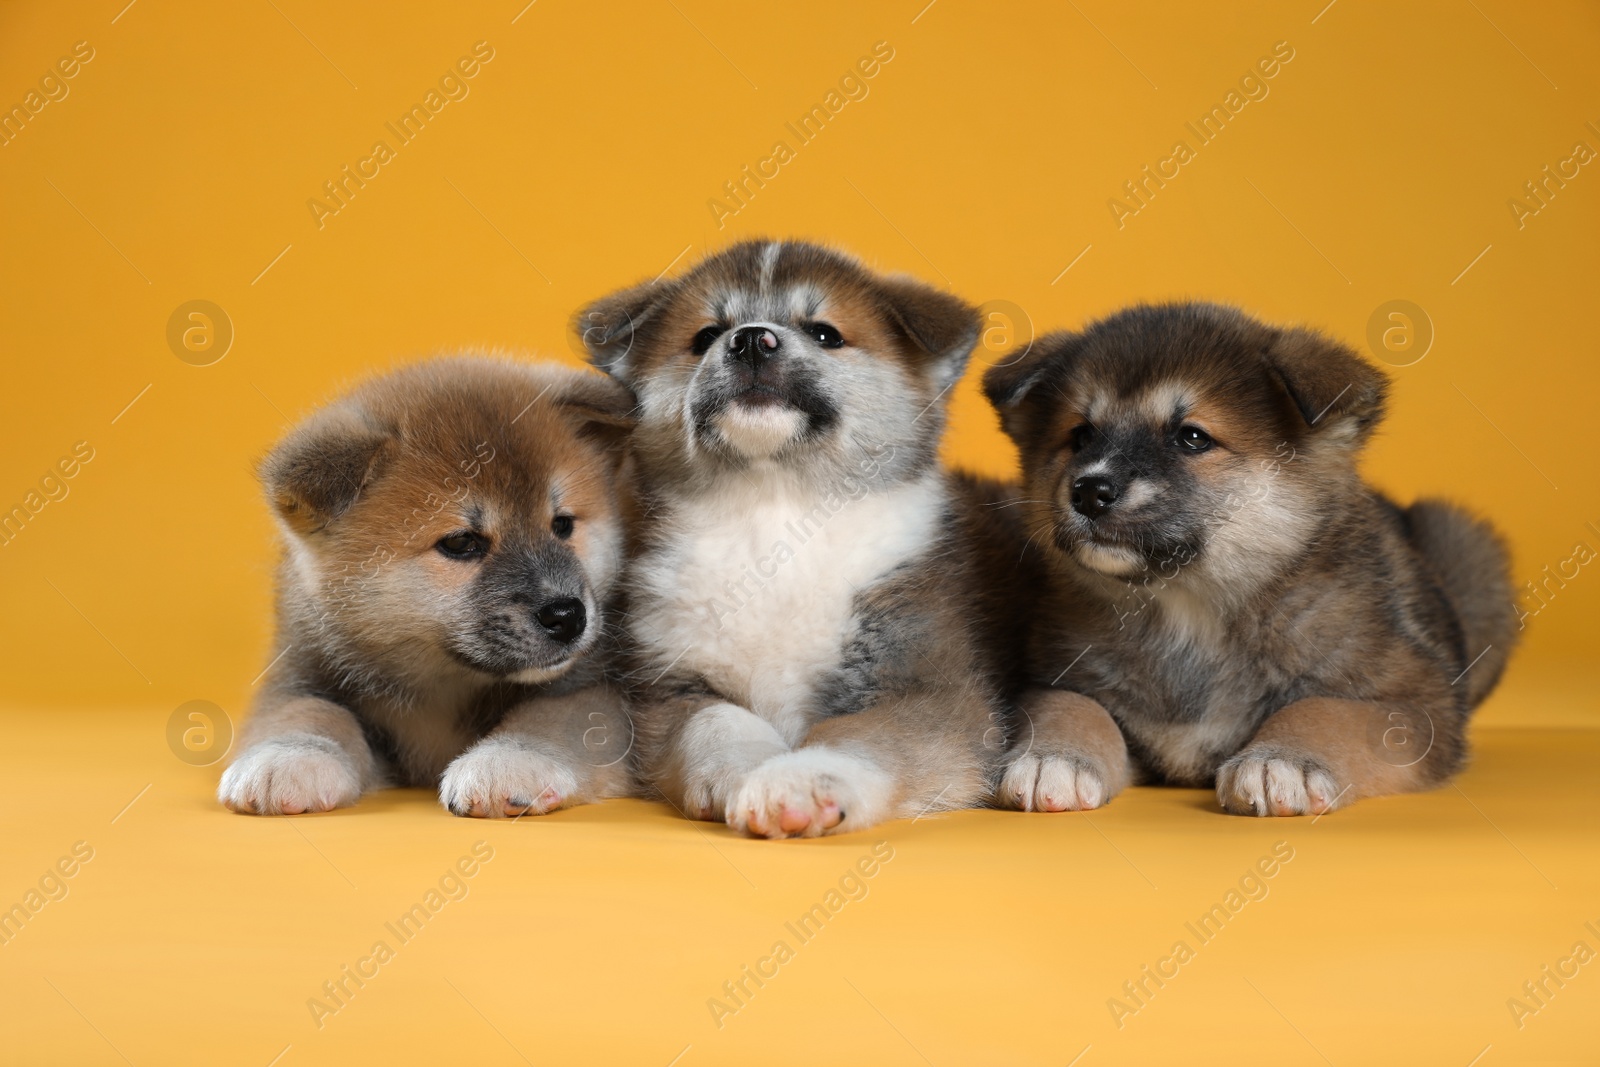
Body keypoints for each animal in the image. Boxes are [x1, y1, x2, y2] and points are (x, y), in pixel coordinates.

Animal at [217, 358, 636, 819]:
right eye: (460, 542)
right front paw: (289, 755)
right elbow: (306, 711)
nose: (567, 615)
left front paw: (510, 759)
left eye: (562, 525)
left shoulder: (603, 690)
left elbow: (556, 716)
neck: (440, 686)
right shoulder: (297, 676)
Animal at [572, 238, 1024, 838]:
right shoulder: (670, 688)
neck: (775, 512)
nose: (750, 340)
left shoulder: (933, 687)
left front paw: (799, 781)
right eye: (705, 335)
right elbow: (717, 722)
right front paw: (743, 773)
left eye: (825, 333)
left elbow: (858, 738)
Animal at [979, 302, 1516, 819]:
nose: (1089, 490)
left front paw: (1282, 759)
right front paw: (1053, 757)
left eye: (1192, 438)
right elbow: (1069, 704)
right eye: (1080, 436)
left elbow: (1326, 711)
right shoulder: (1059, 677)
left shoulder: (1414, 702)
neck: (1187, 614)